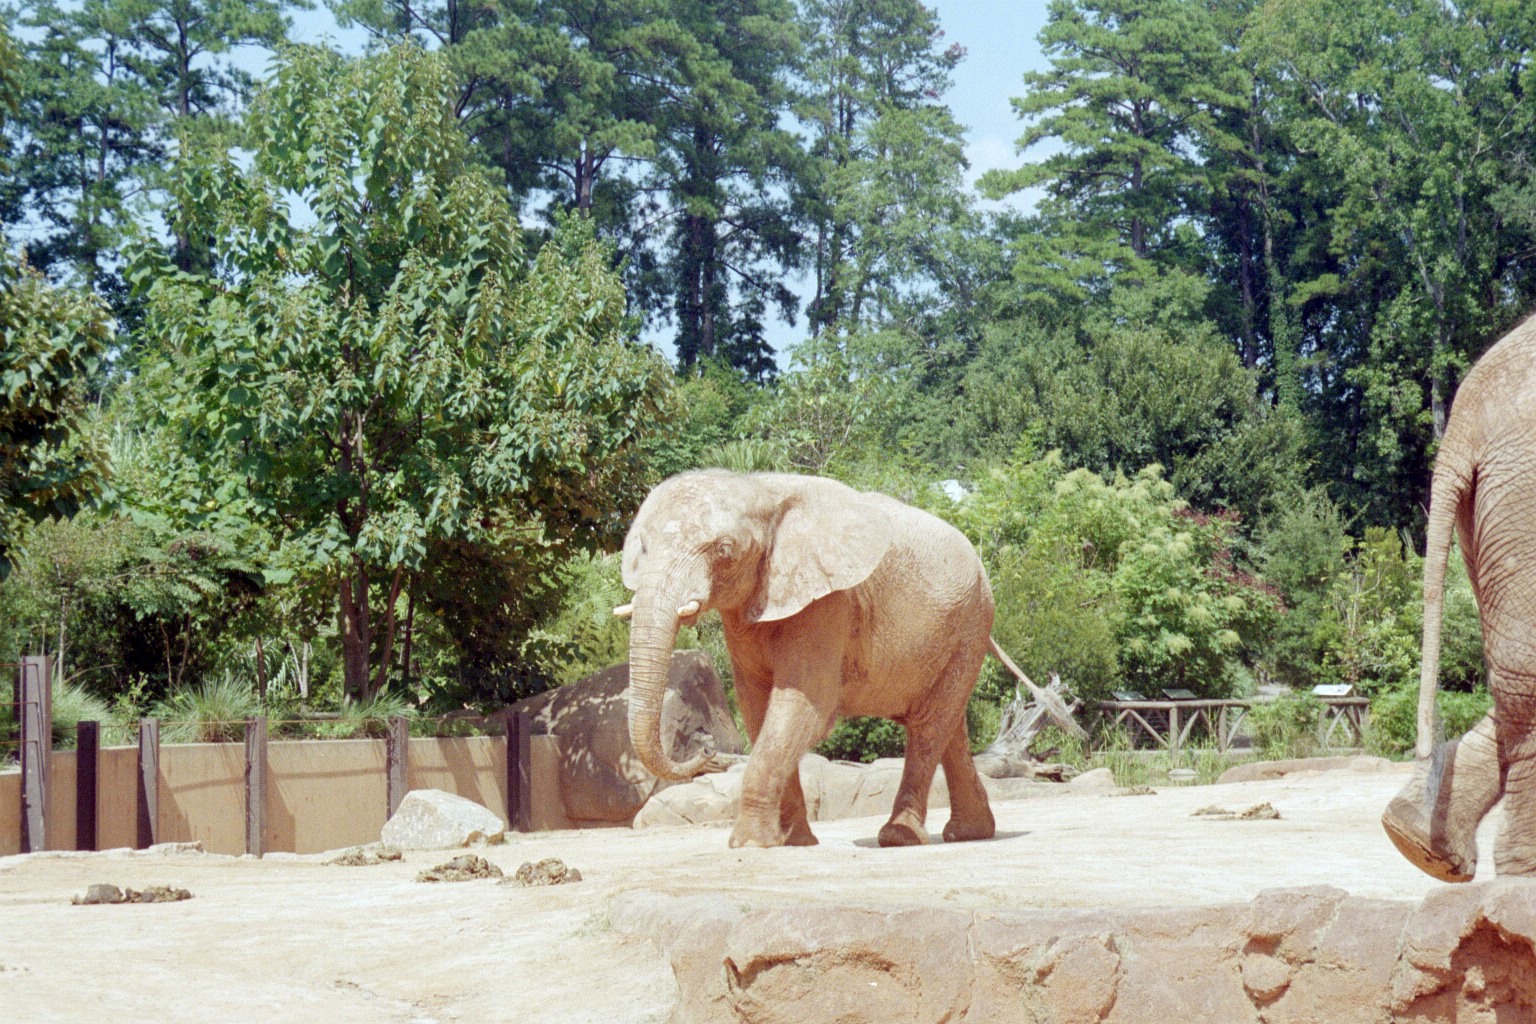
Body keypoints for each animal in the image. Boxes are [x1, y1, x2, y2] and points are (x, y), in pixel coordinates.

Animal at [614, 469, 1005, 849]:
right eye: (643, 547)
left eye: (724, 550)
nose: (707, 747)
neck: (759, 487)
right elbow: (758, 709)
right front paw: (792, 842)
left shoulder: (829, 604)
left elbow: (805, 706)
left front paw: (750, 844)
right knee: (949, 724)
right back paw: (970, 833)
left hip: (971, 622)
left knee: (928, 727)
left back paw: (900, 837)